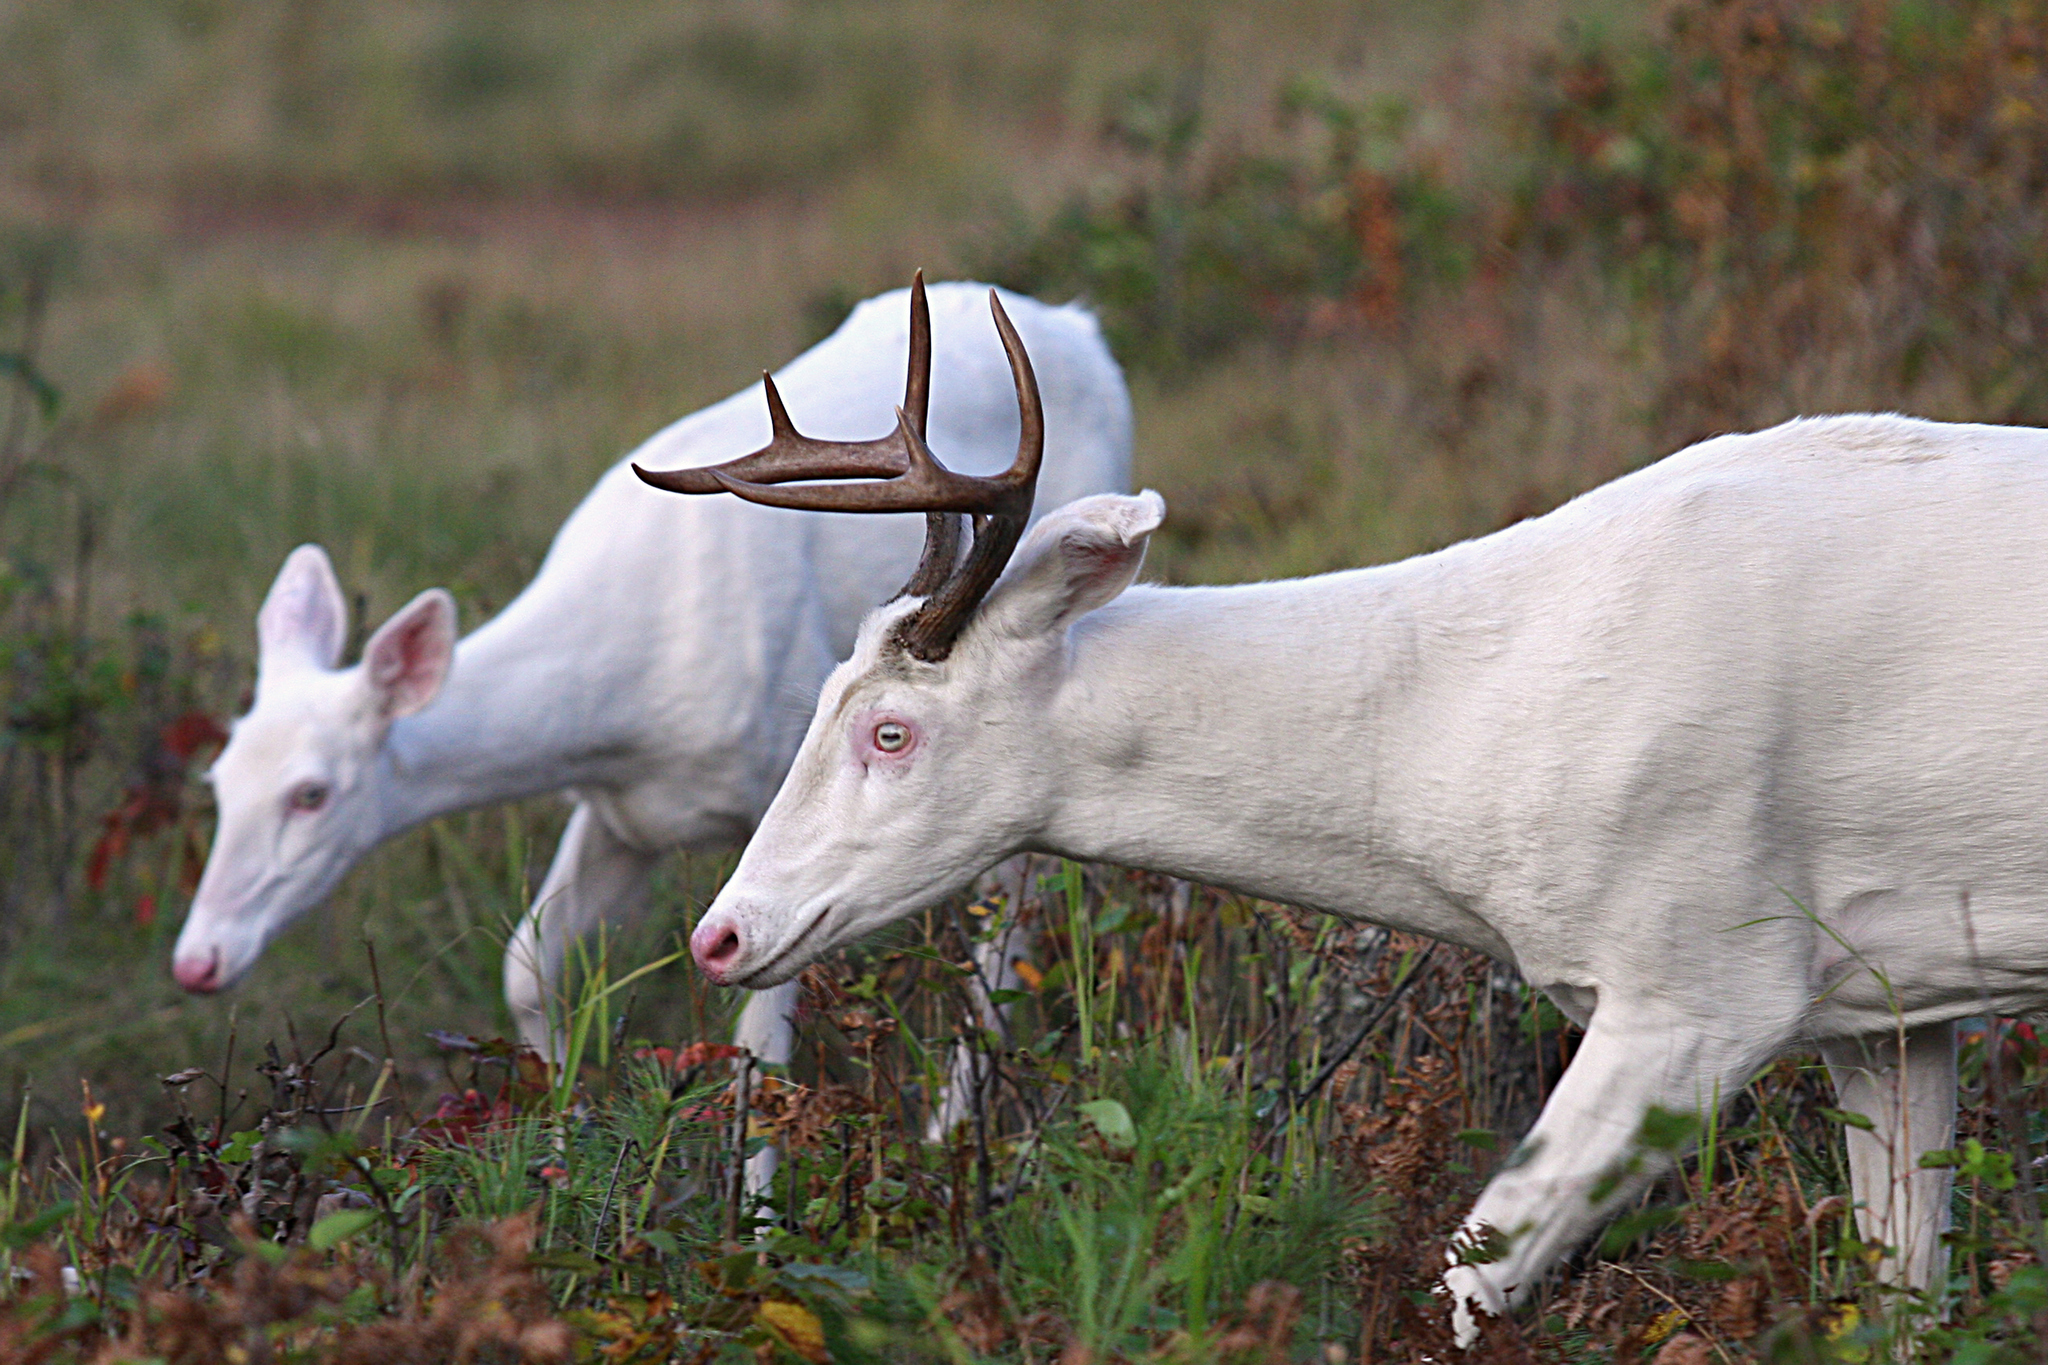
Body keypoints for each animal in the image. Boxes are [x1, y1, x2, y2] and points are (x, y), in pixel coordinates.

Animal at [172, 280, 1138, 1096]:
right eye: (217, 783)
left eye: (311, 793)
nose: (195, 961)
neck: (622, 696)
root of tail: (1087, 328)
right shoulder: (617, 812)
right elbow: (525, 969)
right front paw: (561, 1127)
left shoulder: (769, 798)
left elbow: (758, 1045)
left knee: (1011, 926)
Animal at [647, 296, 2039, 1334]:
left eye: (890, 729)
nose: (720, 934)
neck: (1461, 743)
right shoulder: (1883, 1004)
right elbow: (1901, 1296)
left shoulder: (1705, 975)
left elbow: (1466, 1281)